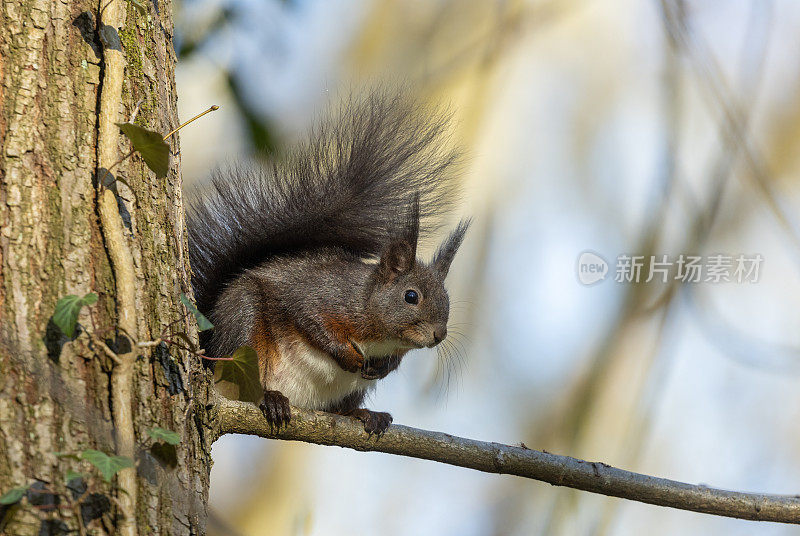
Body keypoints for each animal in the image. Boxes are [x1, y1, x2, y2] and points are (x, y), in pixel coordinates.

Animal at [187, 92, 468, 436]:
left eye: (447, 299)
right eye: (411, 296)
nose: (439, 335)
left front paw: (385, 366)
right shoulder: (321, 295)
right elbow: (310, 320)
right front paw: (346, 356)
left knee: (341, 407)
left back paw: (364, 414)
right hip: (242, 325)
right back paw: (271, 398)